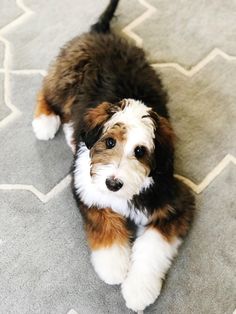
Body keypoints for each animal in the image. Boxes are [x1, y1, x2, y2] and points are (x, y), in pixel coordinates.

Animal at [31, 0, 194, 312]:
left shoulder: (174, 202)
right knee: (46, 92)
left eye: (140, 151)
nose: (113, 184)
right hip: (67, 77)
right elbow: (103, 223)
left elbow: (153, 246)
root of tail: (101, 32)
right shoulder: (86, 187)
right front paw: (114, 267)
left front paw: (138, 289)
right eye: (109, 142)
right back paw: (44, 122)